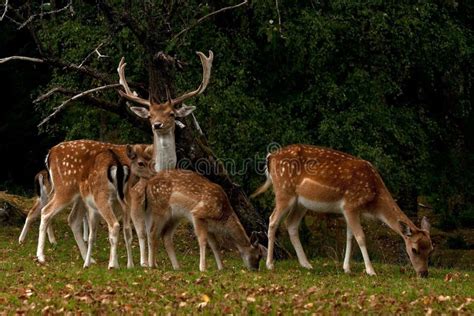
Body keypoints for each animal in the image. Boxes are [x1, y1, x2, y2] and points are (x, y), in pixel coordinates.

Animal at [35, 139, 150, 268]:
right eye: (141, 163)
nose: (154, 174)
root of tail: (49, 154)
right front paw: (139, 263)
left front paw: (122, 263)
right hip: (65, 188)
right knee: (46, 211)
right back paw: (41, 256)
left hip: (79, 196)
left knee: (73, 219)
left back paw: (89, 259)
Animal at [126, 146, 266, 272]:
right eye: (258, 255)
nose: (255, 269)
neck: (221, 216)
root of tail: (148, 184)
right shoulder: (199, 214)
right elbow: (202, 241)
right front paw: (203, 268)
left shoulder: (209, 226)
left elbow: (215, 245)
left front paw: (221, 267)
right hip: (160, 209)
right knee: (152, 233)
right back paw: (152, 265)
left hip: (175, 216)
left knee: (165, 236)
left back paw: (176, 266)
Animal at [252, 144, 434, 278]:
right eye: (414, 250)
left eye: (431, 250)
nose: (424, 273)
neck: (373, 200)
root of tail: (270, 157)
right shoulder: (350, 204)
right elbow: (361, 237)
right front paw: (371, 271)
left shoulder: (350, 210)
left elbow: (350, 237)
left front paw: (347, 268)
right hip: (284, 191)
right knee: (273, 220)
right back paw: (270, 264)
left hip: (300, 202)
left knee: (291, 224)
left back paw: (306, 264)